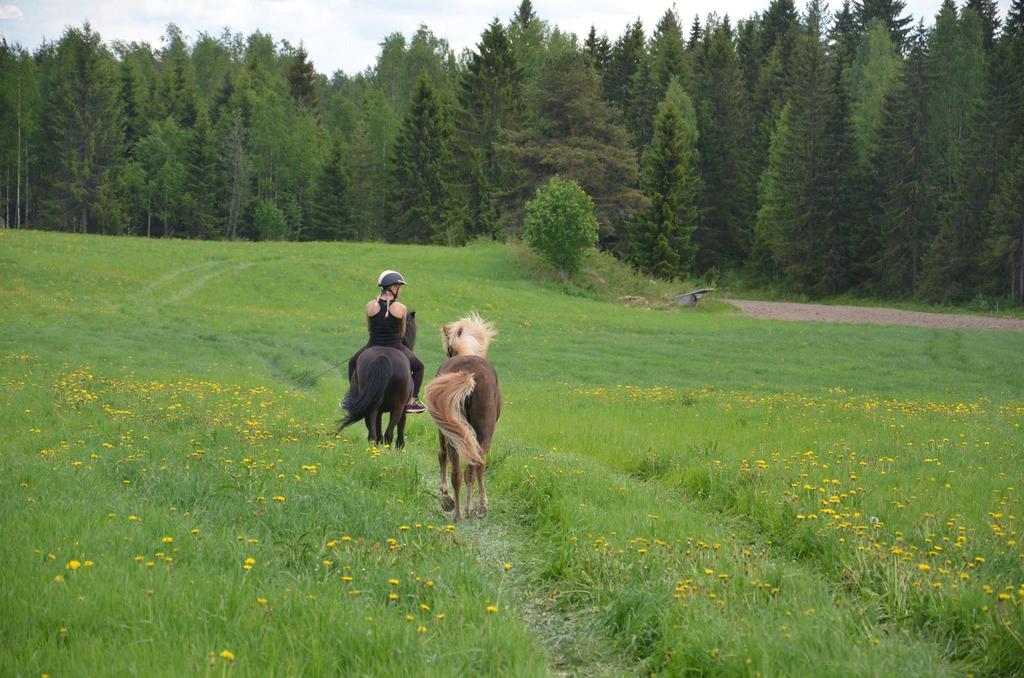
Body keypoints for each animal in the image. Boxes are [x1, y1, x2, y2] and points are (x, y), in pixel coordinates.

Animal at [335, 313, 415, 450]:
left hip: (371, 405)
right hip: (397, 407)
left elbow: (378, 431)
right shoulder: (404, 408)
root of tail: (383, 357)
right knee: (388, 433)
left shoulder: (379, 410)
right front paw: (400, 447)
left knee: (372, 434)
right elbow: (400, 427)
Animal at [423, 313, 499, 520]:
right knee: (473, 465)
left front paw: (453, 501)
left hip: (457, 433)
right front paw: (470, 505)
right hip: (480, 432)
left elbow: (446, 459)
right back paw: (474, 508)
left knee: (459, 470)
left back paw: (458, 511)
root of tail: (467, 374)